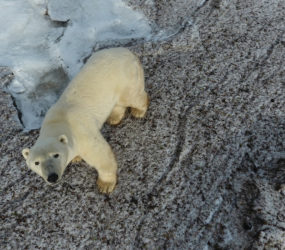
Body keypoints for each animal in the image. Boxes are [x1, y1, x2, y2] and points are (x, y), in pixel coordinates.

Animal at [21, 48, 149, 193]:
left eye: (56, 155)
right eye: (36, 162)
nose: (52, 177)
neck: (58, 122)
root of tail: (128, 51)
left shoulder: (82, 134)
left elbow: (100, 154)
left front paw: (105, 185)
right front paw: (76, 158)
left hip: (125, 78)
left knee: (132, 96)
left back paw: (138, 111)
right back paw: (114, 118)